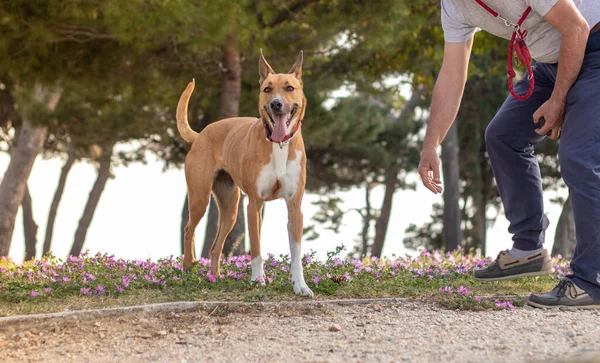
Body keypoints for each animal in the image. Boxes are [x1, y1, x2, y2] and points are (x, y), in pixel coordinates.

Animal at [175, 49, 312, 298]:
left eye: (289, 88)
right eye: (267, 89)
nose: (276, 104)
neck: (278, 144)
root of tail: (201, 134)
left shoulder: (295, 206)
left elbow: (296, 253)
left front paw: (301, 286)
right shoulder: (254, 205)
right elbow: (256, 248)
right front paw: (258, 280)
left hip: (230, 208)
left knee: (215, 247)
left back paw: (215, 278)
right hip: (200, 197)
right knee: (189, 229)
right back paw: (188, 269)